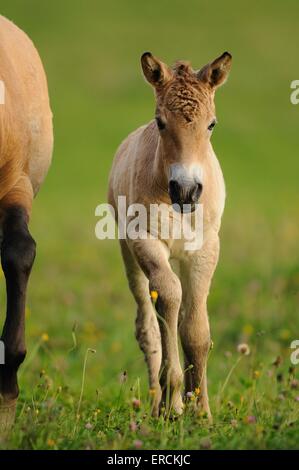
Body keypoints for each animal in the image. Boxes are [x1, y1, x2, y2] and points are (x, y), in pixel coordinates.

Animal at [109, 52, 233, 418]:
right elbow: (168, 297)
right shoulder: (145, 240)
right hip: (127, 253)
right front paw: (171, 401)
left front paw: (201, 412)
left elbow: (194, 327)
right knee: (147, 325)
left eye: (212, 124)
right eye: (161, 122)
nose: (187, 190)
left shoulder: (205, 249)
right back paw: (157, 405)